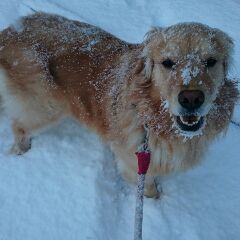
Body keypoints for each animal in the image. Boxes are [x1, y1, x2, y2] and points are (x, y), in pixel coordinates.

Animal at [0, 12, 237, 197]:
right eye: (168, 63)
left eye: (210, 61)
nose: (191, 99)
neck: (154, 119)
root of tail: (8, 31)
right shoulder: (134, 164)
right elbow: (148, 189)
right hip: (46, 108)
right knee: (18, 126)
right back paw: (21, 150)